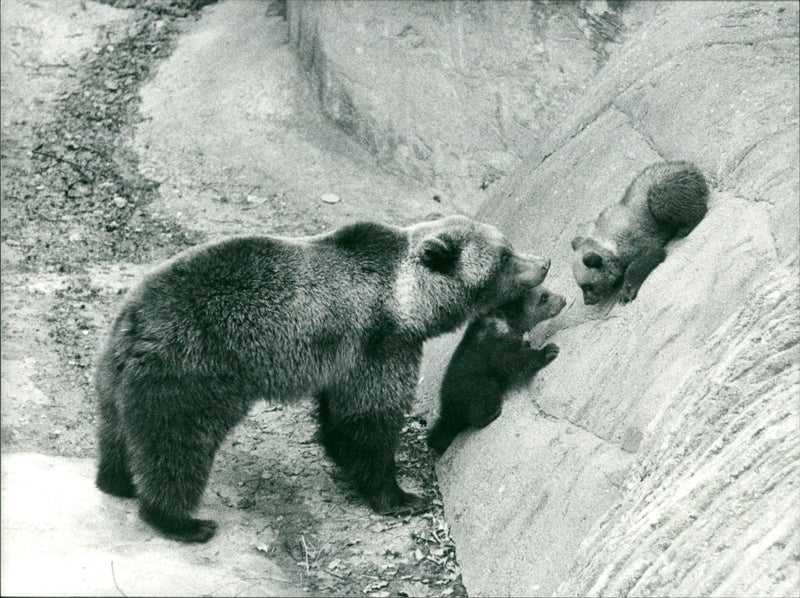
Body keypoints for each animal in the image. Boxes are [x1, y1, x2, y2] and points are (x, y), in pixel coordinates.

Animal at [94, 215, 551, 543]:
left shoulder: (346, 361)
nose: (544, 263)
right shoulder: (378, 346)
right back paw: (180, 521)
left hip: (115, 371)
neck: (405, 305)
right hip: (194, 369)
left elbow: (339, 420)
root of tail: (138, 319)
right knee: (177, 444)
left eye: (509, 247)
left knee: (116, 430)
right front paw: (401, 495)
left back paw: (118, 481)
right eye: (505, 258)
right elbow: (368, 422)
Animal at [426, 285, 566, 456]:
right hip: (479, 385)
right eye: (543, 297)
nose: (563, 299)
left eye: (547, 290)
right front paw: (547, 351)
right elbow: (513, 361)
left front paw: (529, 343)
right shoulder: (496, 345)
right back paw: (492, 413)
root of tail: (447, 407)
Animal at [571, 161, 709, 305]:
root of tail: (688, 165)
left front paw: (626, 291)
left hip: (661, 188)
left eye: (587, 286)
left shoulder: (634, 239)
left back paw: (685, 227)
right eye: (580, 285)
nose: (587, 300)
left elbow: (646, 257)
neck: (608, 243)